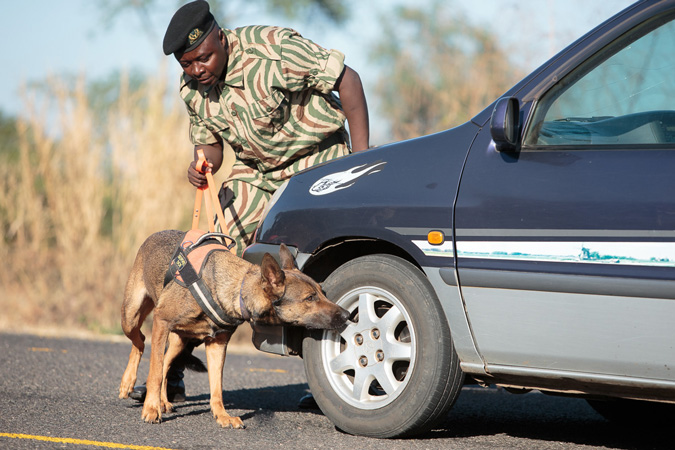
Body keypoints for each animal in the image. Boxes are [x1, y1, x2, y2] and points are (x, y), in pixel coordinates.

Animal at [119, 230, 348, 428]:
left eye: (322, 292)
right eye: (310, 298)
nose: (347, 315)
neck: (237, 289)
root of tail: (154, 235)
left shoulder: (217, 344)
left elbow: (216, 387)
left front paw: (222, 416)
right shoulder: (162, 321)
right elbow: (155, 372)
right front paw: (151, 409)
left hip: (178, 341)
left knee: (166, 361)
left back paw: (163, 400)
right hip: (131, 317)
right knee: (141, 341)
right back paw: (129, 383)